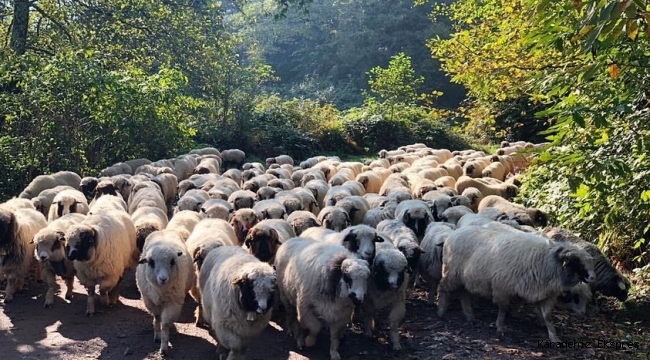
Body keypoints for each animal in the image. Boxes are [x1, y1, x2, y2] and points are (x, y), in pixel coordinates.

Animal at [436, 226, 592, 342]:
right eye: (577, 262)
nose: (592, 277)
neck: (546, 261)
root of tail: (453, 233)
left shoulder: (545, 294)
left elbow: (547, 316)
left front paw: (554, 337)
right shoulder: (502, 287)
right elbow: (503, 309)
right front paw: (500, 327)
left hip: (467, 278)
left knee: (465, 294)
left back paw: (469, 315)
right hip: (451, 273)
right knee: (442, 288)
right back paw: (441, 311)